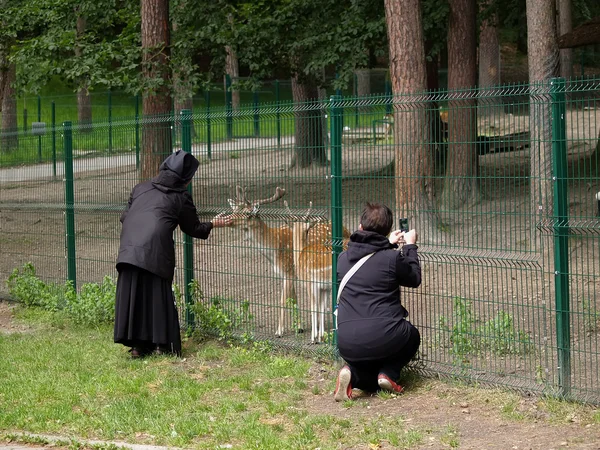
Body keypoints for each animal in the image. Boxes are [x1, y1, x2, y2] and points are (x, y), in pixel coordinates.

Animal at [227, 186, 296, 338]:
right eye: (234, 210)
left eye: (247, 213)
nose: (229, 220)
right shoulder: (288, 273)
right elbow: (293, 298)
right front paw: (298, 327)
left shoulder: (288, 270)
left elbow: (283, 300)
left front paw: (279, 331)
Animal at [286, 202, 352, 342]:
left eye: (307, 230)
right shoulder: (324, 287)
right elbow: (322, 307)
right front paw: (321, 335)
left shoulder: (310, 283)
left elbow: (314, 307)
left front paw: (313, 337)